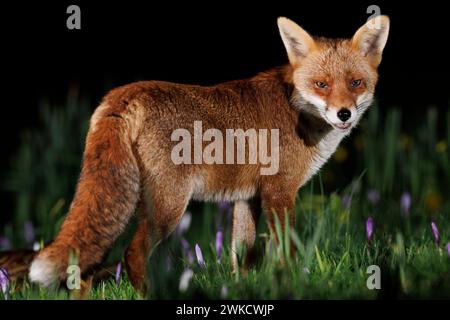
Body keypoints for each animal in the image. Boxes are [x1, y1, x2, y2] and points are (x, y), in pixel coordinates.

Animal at [28, 15, 388, 292]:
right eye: (321, 84)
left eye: (355, 83)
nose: (344, 114)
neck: (295, 109)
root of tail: (122, 94)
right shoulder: (279, 191)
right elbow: (287, 249)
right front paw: (294, 282)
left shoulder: (247, 197)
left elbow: (240, 254)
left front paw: (241, 289)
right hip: (169, 205)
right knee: (132, 253)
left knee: (85, 268)